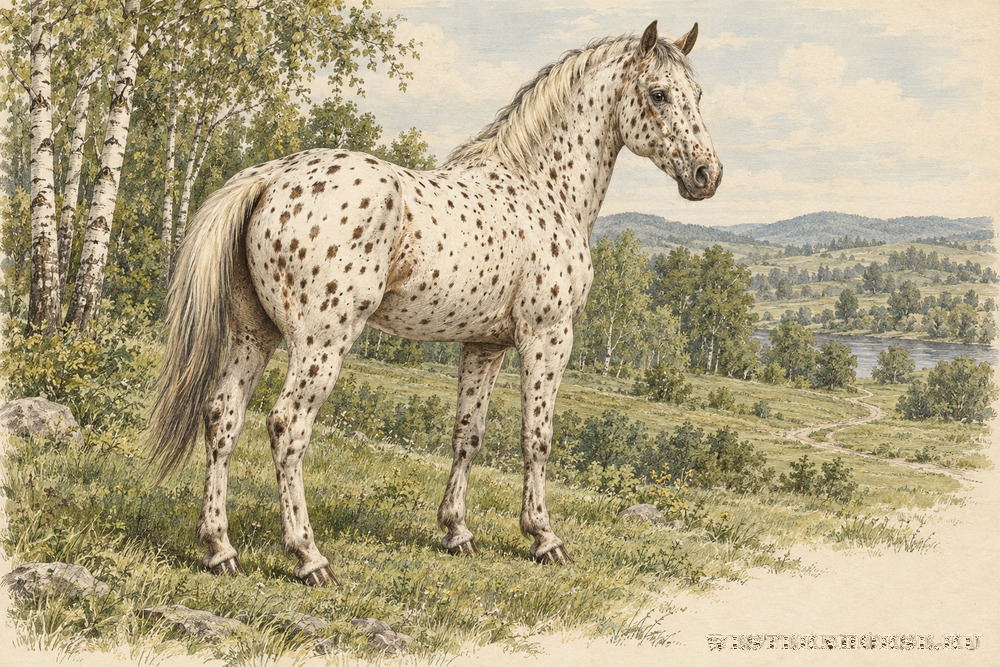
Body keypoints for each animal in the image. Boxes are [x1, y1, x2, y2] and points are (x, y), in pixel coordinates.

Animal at [148, 20, 722, 586]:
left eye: (697, 94)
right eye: (659, 93)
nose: (706, 176)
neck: (542, 189)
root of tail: (269, 178)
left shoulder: (484, 345)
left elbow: (468, 434)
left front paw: (457, 532)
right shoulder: (548, 336)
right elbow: (537, 437)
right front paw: (544, 538)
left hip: (255, 335)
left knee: (223, 417)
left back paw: (220, 549)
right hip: (320, 342)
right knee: (288, 425)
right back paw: (309, 558)